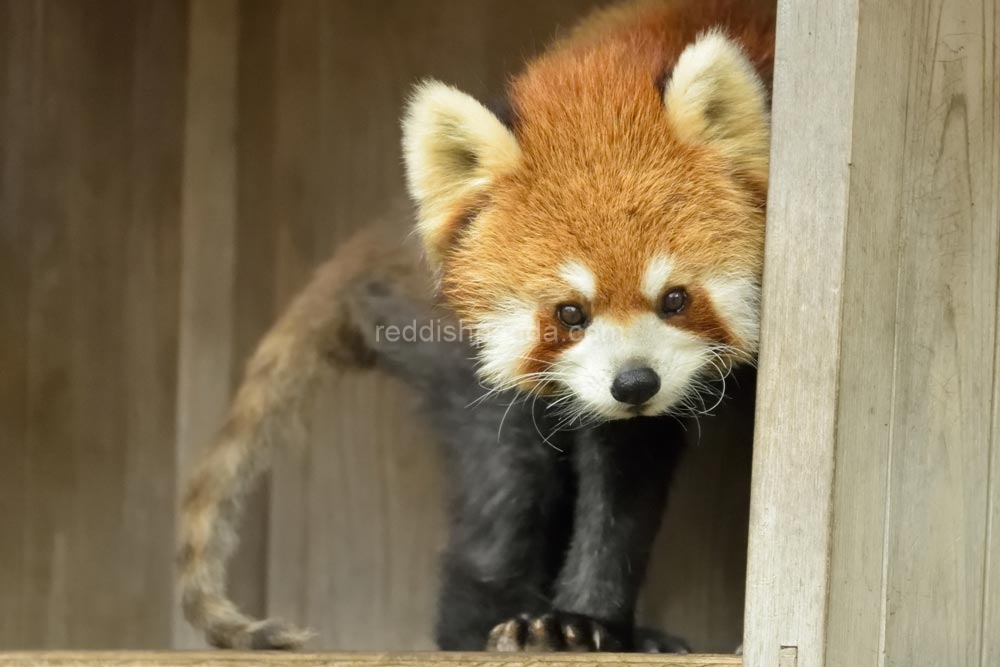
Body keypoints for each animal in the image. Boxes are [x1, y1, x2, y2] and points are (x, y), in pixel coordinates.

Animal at [178, 0, 772, 652]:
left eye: (675, 298)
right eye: (570, 312)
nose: (634, 384)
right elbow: (619, 471)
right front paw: (584, 621)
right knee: (507, 472)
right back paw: (497, 624)